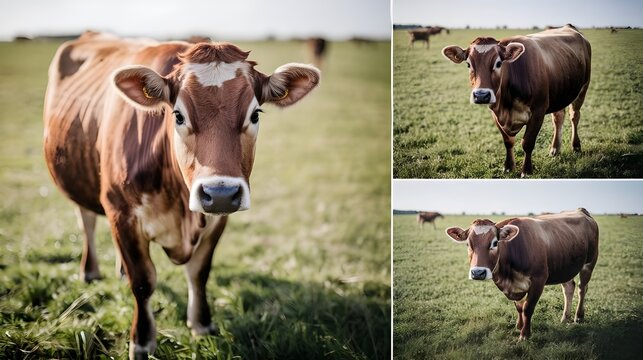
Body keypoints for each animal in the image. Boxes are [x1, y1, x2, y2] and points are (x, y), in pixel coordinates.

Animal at [42, 31, 320, 360]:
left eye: (255, 114)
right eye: (177, 115)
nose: (220, 193)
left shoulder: (216, 221)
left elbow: (199, 273)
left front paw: (202, 325)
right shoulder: (121, 214)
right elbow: (142, 281)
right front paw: (141, 342)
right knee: (86, 219)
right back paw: (89, 271)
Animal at [446, 24, 592, 177]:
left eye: (499, 63)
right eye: (468, 64)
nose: (481, 95)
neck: (506, 105)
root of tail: (569, 27)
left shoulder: (538, 111)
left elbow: (527, 143)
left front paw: (526, 171)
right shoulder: (495, 114)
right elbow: (508, 142)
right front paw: (508, 167)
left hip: (583, 87)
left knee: (574, 116)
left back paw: (576, 146)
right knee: (558, 118)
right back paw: (554, 149)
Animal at [446, 210, 600, 338]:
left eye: (495, 243)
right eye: (468, 244)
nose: (478, 272)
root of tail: (581, 210)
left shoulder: (539, 280)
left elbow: (527, 308)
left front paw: (525, 334)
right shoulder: (514, 286)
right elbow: (519, 307)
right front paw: (519, 326)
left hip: (589, 263)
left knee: (582, 288)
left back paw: (578, 316)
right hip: (565, 266)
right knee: (569, 288)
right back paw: (565, 318)